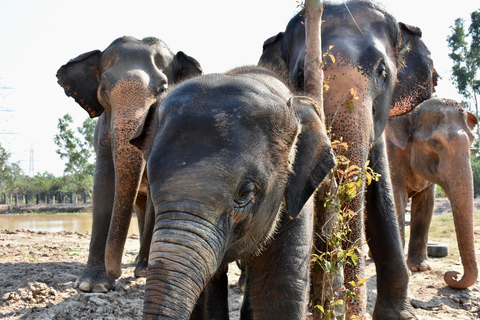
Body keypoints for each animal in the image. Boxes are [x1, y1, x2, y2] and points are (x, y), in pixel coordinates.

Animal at [56, 35, 202, 292]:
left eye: (162, 89)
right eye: (104, 89)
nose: (115, 274)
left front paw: (139, 272)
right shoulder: (103, 134)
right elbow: (103, 182)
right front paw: (92, 285)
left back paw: (142, 266)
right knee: (140, 206)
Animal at [388, 97, 478, 288]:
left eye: (473, 140)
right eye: (435, 143)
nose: (453, 274)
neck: (411, 113)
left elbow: (426, 204)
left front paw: (420, 268)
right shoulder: (391, 156)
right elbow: (396, 199)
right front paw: (406, 272)